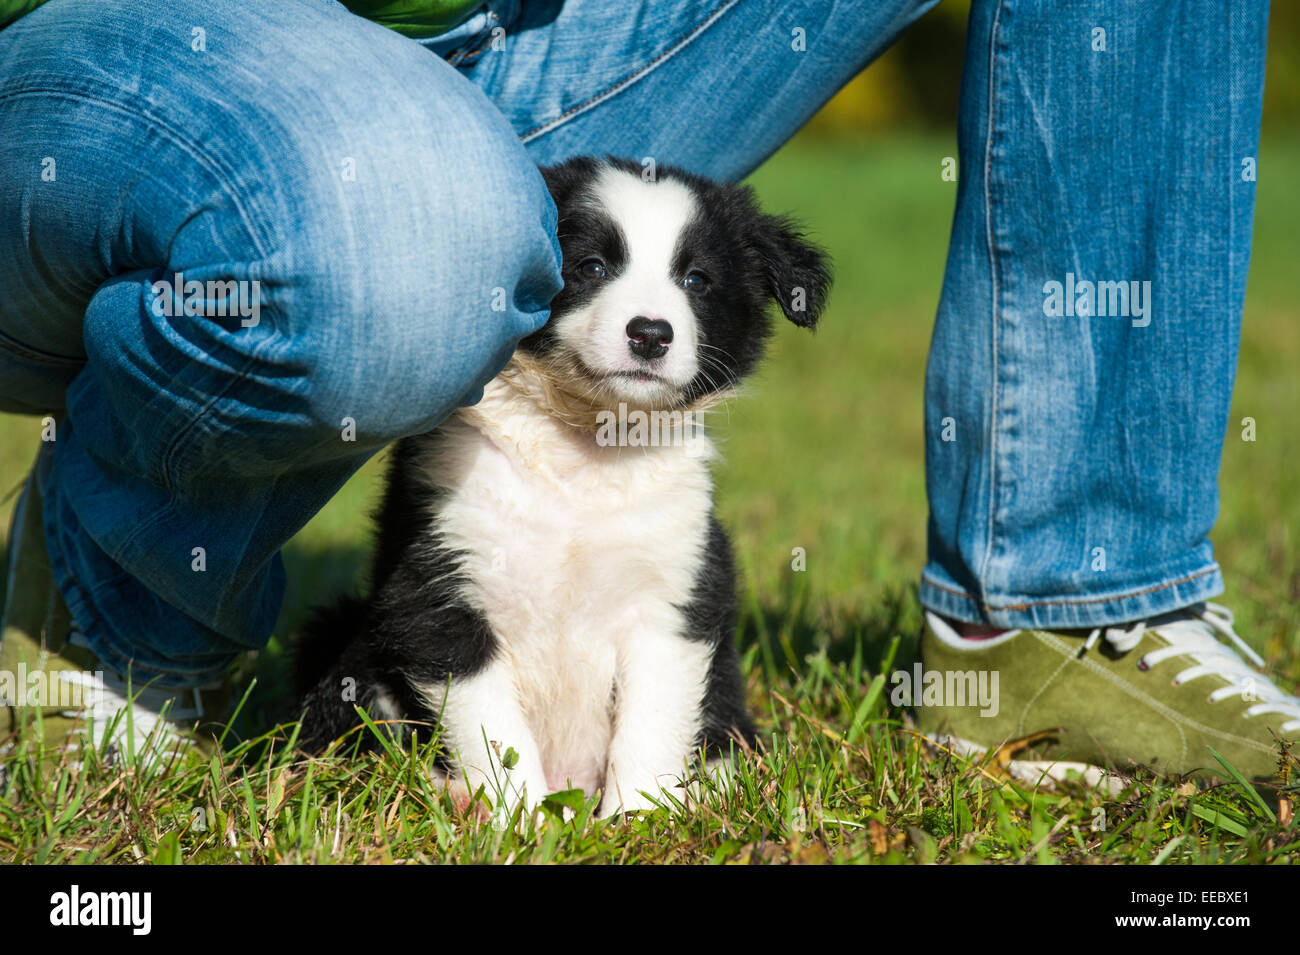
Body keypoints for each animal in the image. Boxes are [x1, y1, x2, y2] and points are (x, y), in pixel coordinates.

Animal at [297, 157, 826, 815]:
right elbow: (493, 728)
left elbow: (652, 724)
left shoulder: (674, 593)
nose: (651, 333)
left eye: (697, 280)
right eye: (591, 267)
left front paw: (638, 818)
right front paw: (518, 819)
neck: (584, 452)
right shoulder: (438, 587)